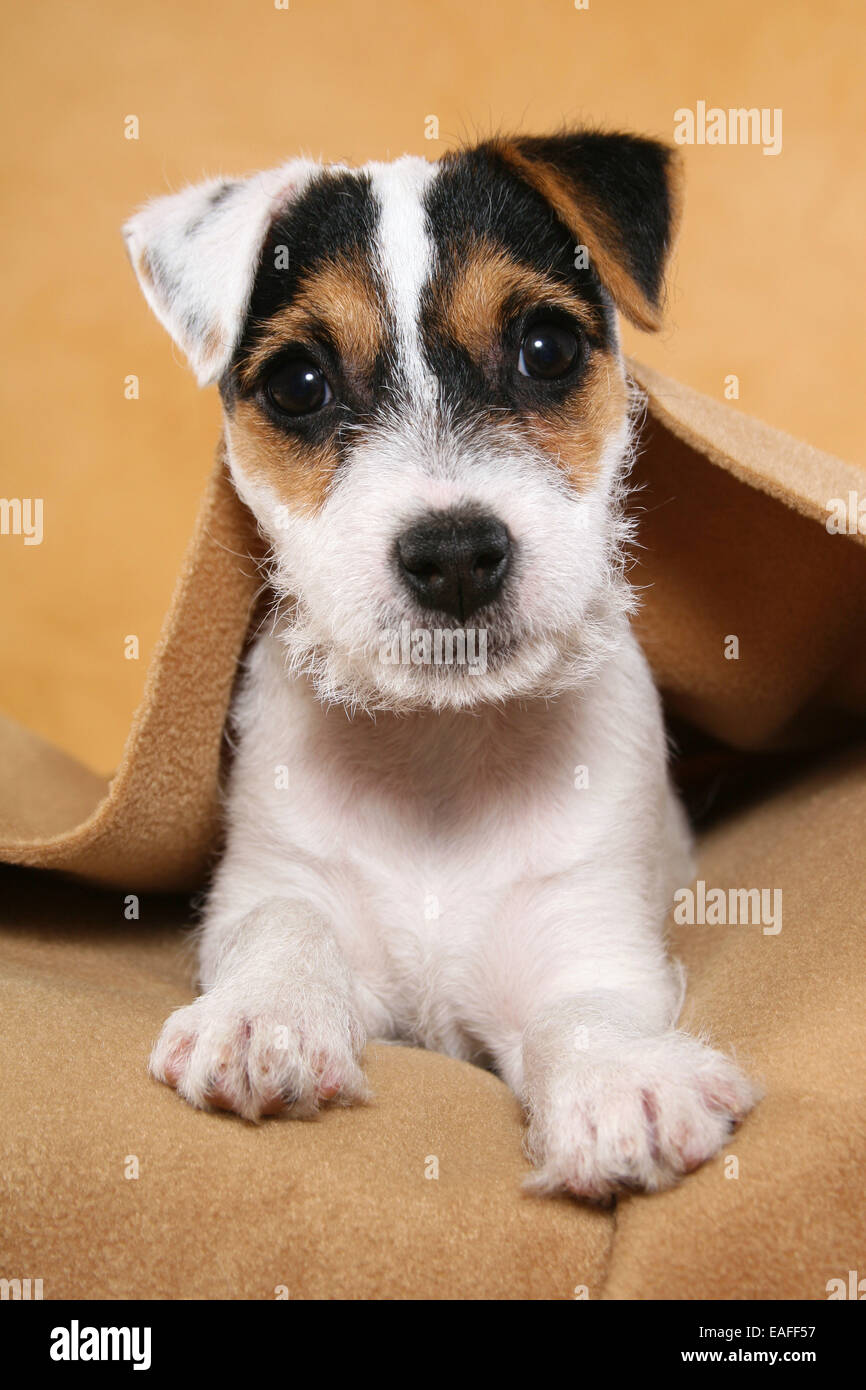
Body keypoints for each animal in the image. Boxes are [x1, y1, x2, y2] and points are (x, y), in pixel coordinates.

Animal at [123, 127, 756, 1195]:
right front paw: (265, 1017)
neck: (438, 757)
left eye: (547, 350)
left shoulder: (587, 926)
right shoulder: (275, 875)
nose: (455, 554)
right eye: (299, 383)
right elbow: (283, 927)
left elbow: (586, 1009)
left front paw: (621, 1081)